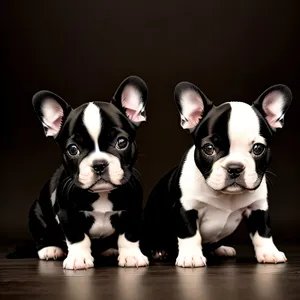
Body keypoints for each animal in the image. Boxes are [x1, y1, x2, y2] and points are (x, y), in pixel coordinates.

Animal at [29, 75, 149, 270]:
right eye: (73, 149)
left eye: (121, 142)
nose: (99, 164)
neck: (102, 194)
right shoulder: (67, 213)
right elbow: (77, 237)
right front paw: (78, 259)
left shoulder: (133, 210)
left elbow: (129, 235)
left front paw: (131, 256)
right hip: (36, 213)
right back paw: (50, 248)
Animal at [142, 82, 292, 268]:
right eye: (209, 148)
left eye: (258, 148)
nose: (234, 167)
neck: (225, 195)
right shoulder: (185, 207)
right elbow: (189, 233)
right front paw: (191, 256)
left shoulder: (258, 207)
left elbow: (263, 232)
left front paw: (269, 252)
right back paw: (159, 251)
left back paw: (221, 249)